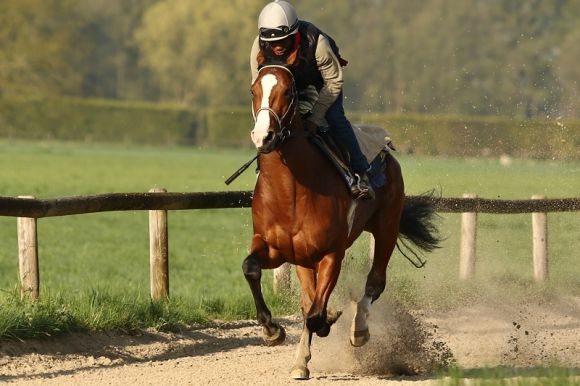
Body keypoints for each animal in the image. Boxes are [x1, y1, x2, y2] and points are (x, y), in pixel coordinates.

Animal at [241, 65, 440, 378]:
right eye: (254, 90)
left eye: (287, 91)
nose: (264, 136)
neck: (291, 193)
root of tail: (386, 151)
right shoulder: (276, 249)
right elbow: (252, 268)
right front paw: (273, 330)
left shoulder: (332, 253)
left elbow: (315, 315)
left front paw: (328, 320)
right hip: (304, 258)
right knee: (309, 298)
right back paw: (302, 357)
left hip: (386, 228)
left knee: (375, 282)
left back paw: (359, 329)